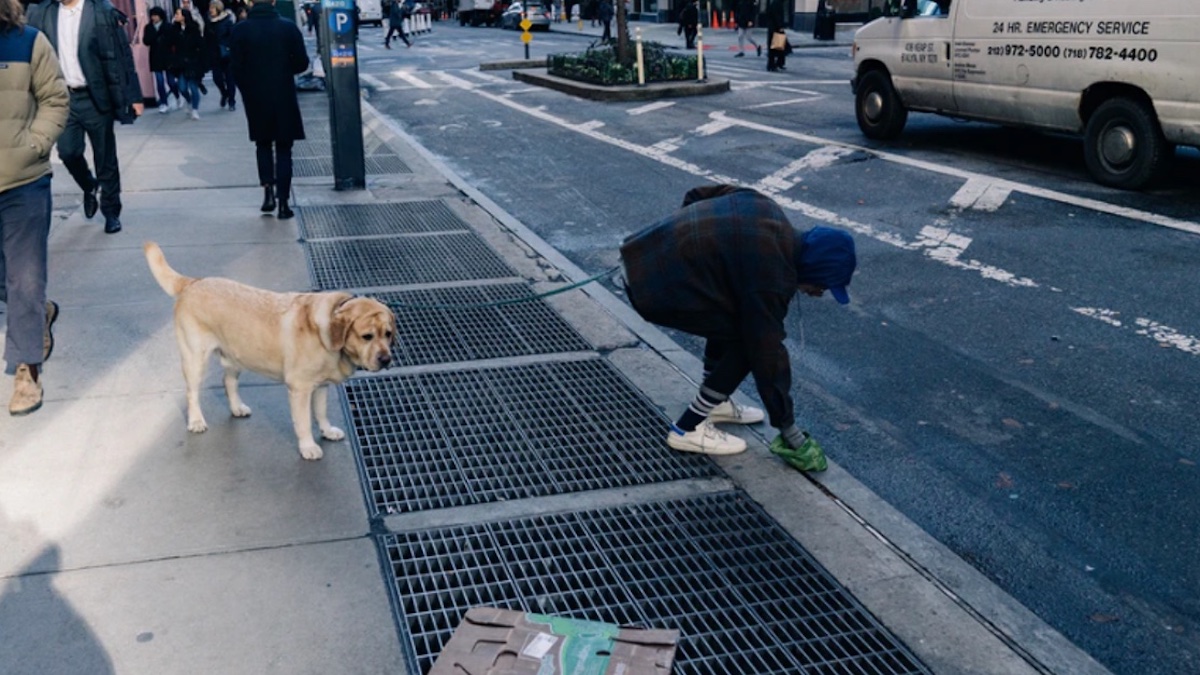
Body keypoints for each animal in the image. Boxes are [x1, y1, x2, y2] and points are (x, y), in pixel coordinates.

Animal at [145, 240, 396, 456]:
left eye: (388, 334)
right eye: (366, 336)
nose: (386, 359)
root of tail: (194, 282)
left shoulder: (321, 386)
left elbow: (321, 412)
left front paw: (326, 430)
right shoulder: (299, 388)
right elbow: (304, 422)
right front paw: (308, 447)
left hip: (235, 354)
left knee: (228, 381)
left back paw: (236, 407)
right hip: (195, 359)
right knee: (192, 393)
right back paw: (196, 421)